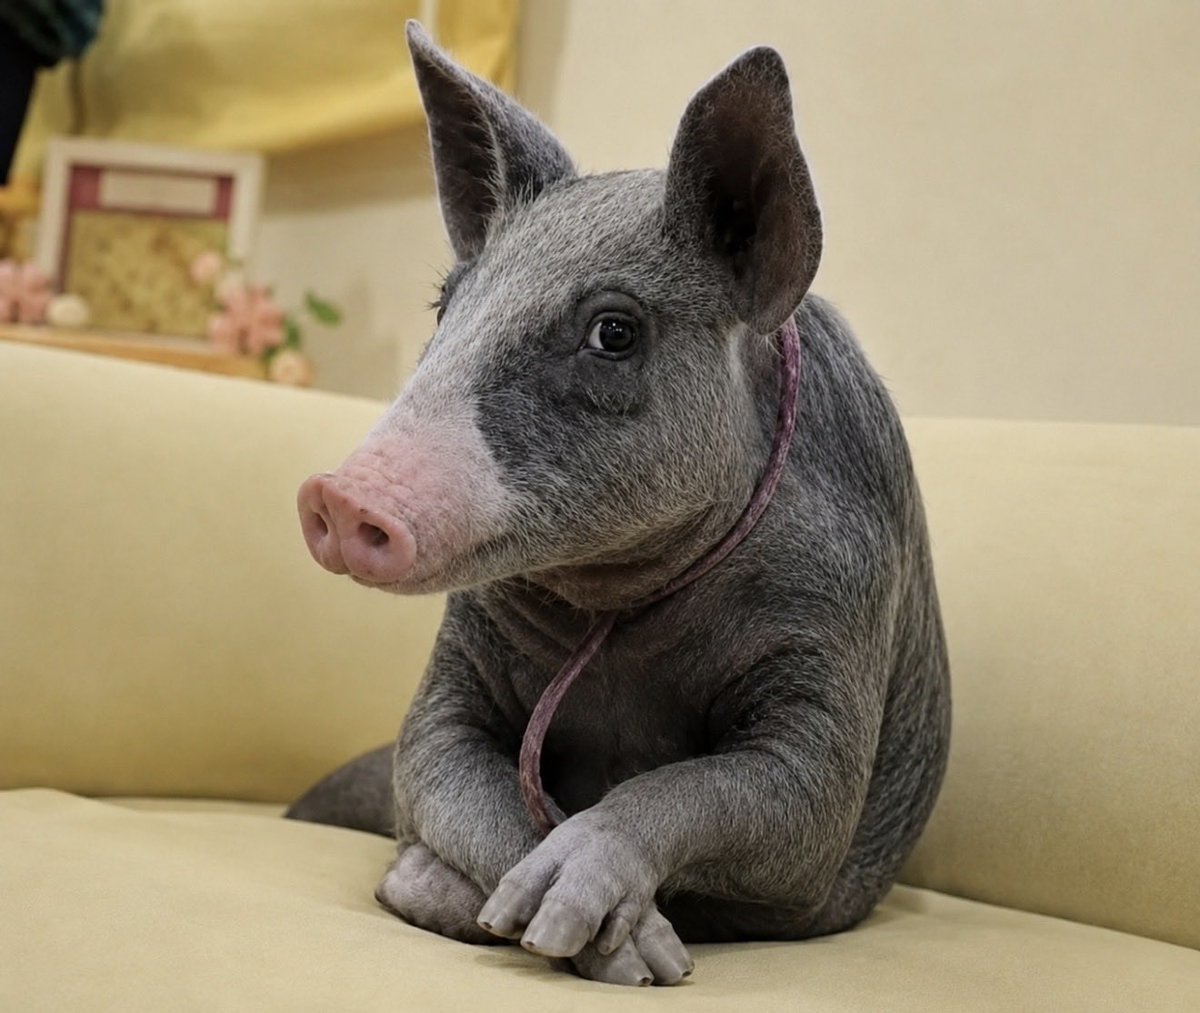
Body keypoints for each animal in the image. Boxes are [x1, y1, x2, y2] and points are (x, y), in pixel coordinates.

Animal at [287, 21, 951, 988]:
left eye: (613, 330)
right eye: (447, 305)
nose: (336, 494)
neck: (619, 609)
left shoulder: (837, 632)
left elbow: (771, 792)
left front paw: (630, 957)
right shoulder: (453, 674)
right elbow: (440, 761)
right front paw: (611, 948)